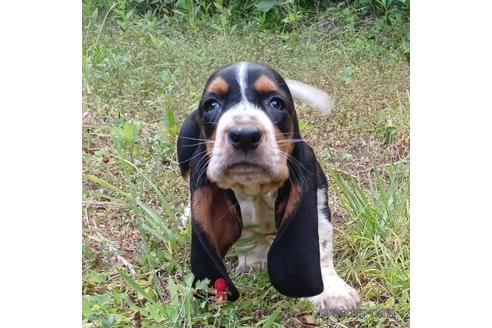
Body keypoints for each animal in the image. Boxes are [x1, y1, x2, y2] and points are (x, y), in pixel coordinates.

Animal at [178, 62, 362, 312]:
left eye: (276, 103)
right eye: (211, 105)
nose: (245, 135)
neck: (257, 190)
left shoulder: (317, 201)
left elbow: (322, 248)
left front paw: (332, 292)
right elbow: (247, 237)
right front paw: (254, 260)